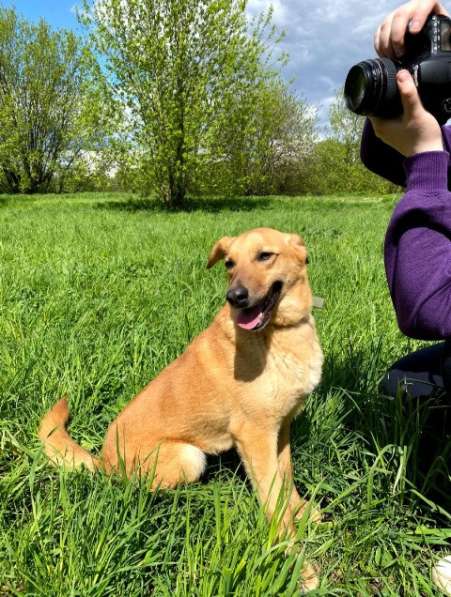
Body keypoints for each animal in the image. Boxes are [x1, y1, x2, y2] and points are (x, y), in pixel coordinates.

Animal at [37, 226, 324, 588]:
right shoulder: (255, 436)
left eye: (264, 256)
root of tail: (104, 461)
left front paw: (301, 511)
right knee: (143, 490)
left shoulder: (281, 428)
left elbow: (286, 478)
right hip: (189, 456)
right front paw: (297, 564)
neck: (280, 332)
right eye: (230, 263)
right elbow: (274, 504)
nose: (235, 296)